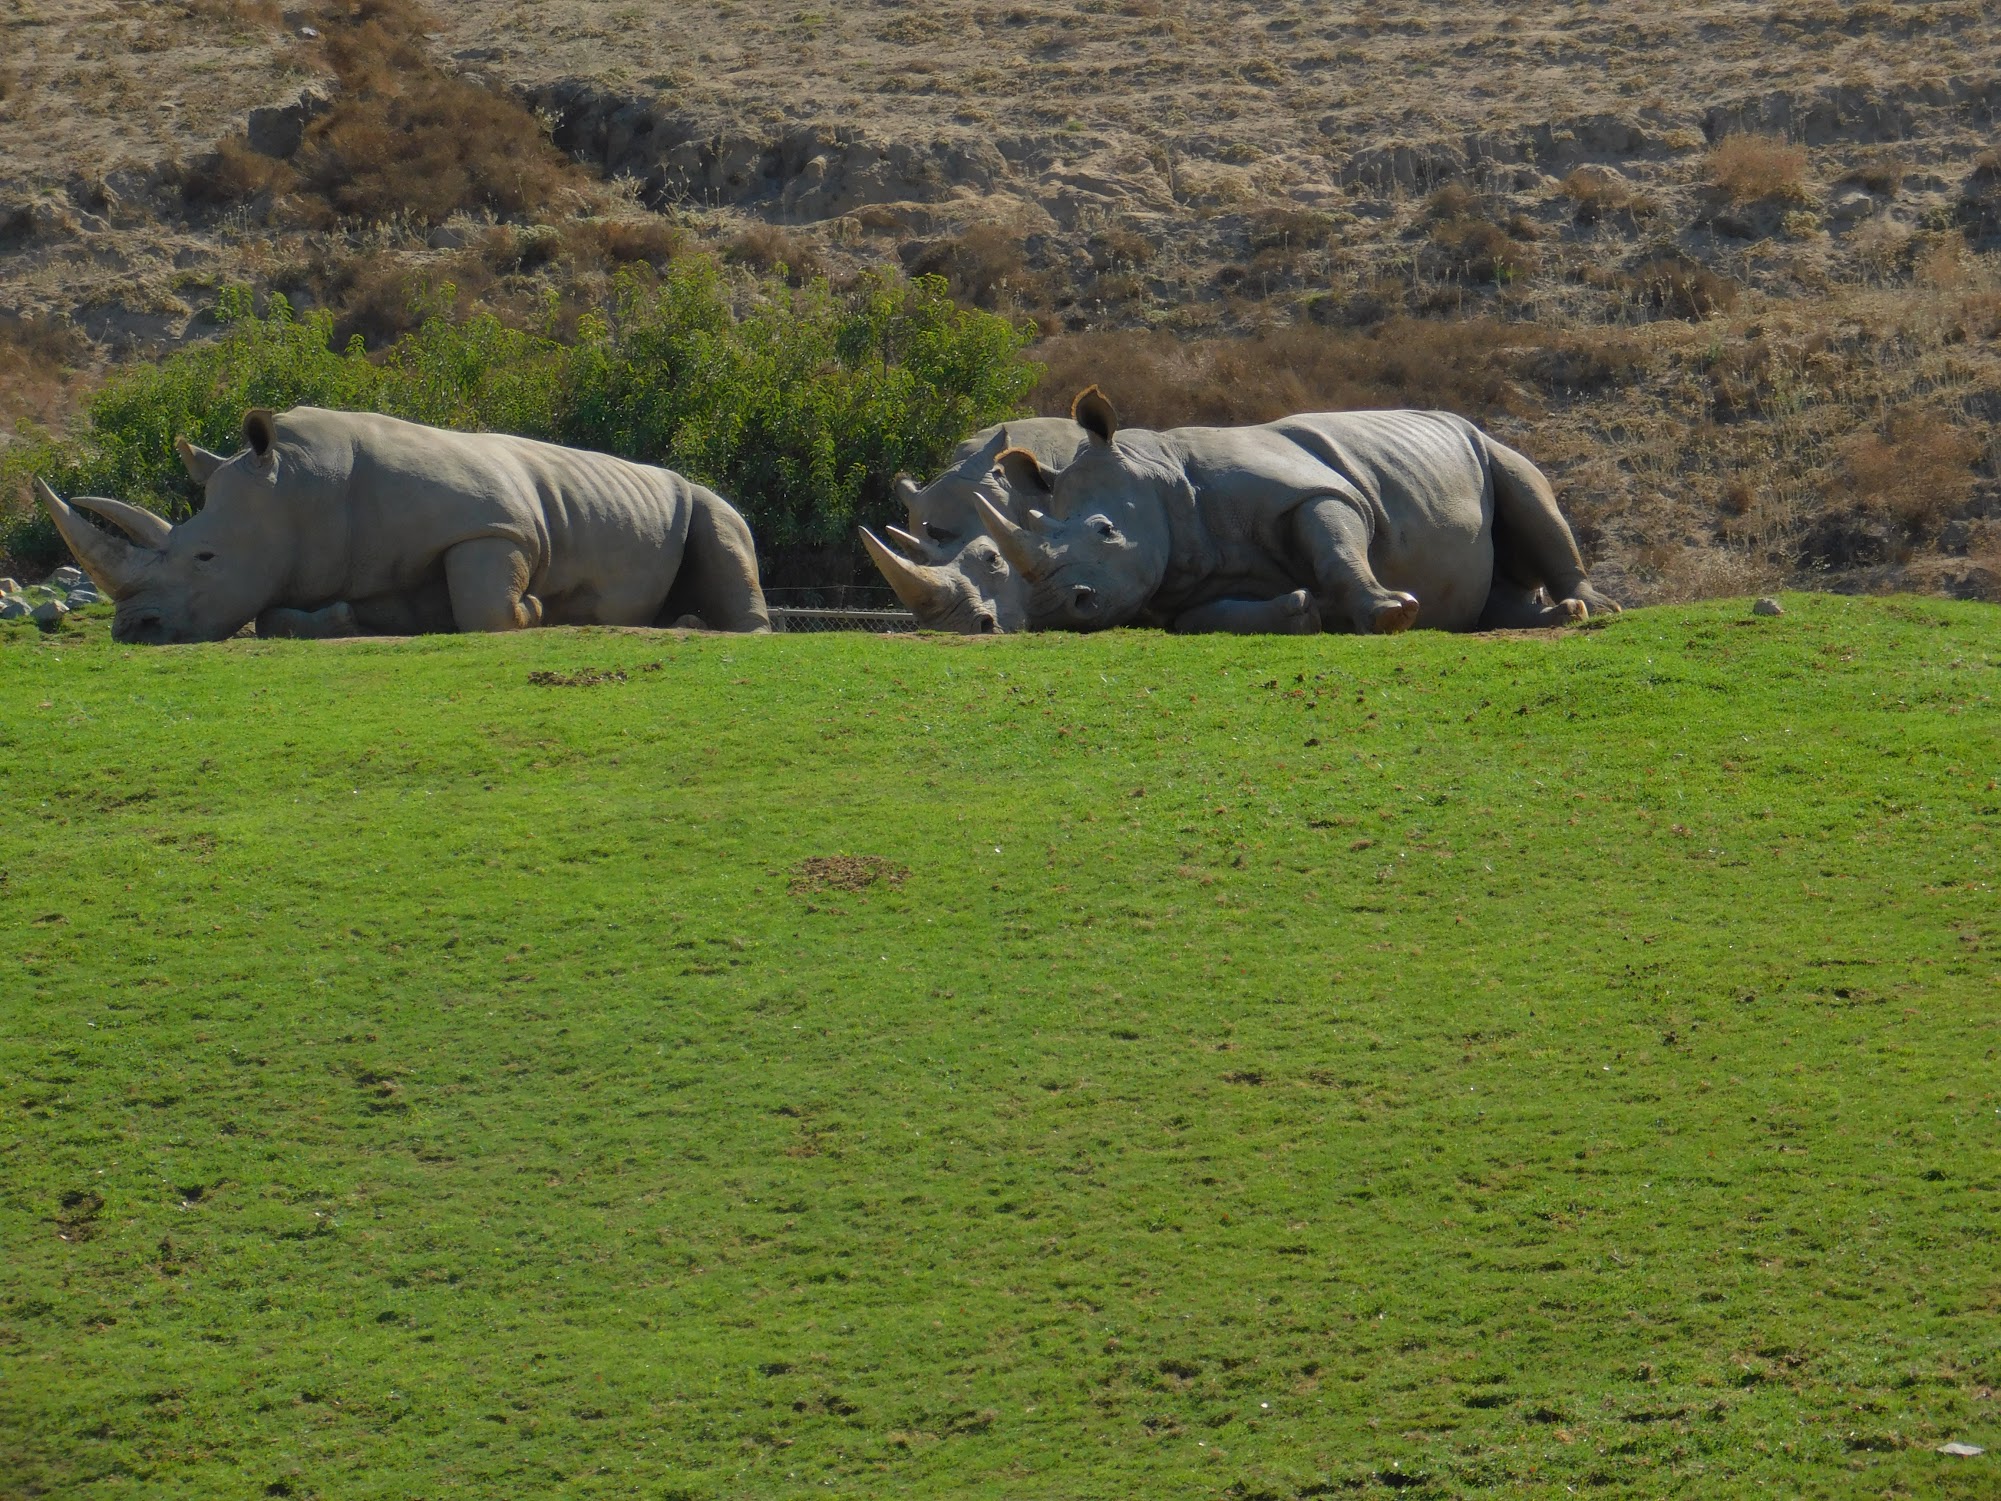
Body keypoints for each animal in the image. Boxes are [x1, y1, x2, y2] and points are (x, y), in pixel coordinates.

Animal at [37, 406, 770, 643]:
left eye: (206, 558)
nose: (133, 630)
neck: (301, 489)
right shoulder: (358, 566)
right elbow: (273, 616)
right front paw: (341, 623)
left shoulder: (492, 526)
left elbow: (486, 608)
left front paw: (536, 611)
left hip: (703, 499)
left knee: (723, 523)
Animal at [967, 389, 1618, 635]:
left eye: (1106, 531)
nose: (1055, 611)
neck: (1158, 478)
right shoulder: (1178, 585)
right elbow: (1205, 618)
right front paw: (1301, 611)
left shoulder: (1313, 492)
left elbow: (1336, 545)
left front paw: (1390, 614)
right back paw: (1561, 616)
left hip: (1486, 442)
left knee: (1527, 490)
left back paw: (1597, 611)